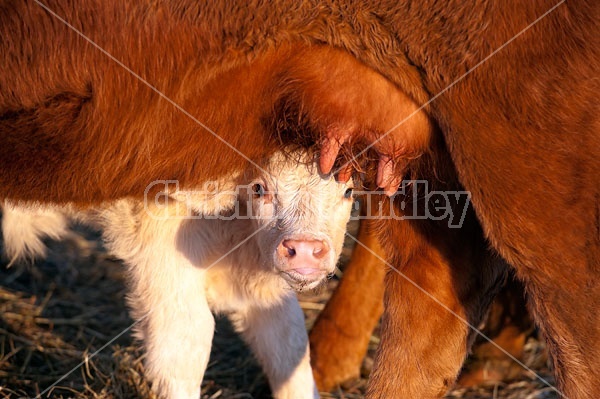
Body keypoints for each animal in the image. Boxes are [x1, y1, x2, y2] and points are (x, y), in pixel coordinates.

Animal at [2, 152, 354, 398]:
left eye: (349, 191)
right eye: (259, 188)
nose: (305, 250)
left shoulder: (264, 289)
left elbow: (290, 348)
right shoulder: (163, 263)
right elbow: (185, 347)